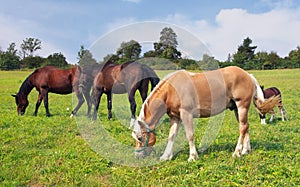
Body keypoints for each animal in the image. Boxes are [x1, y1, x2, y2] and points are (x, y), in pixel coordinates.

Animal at [132, 66, 280, 161]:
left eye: (140, 138)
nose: (137, 156)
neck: (171, 89)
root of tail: (248, 75)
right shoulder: (175, 117)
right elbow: (171, 136)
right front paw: (165, 156)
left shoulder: (186, 115)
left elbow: (190, 135)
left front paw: (192, 157)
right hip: (237, 109)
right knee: (246, 127)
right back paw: (245, 151)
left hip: (242, 105)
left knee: (243, 128)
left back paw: (237, 153)